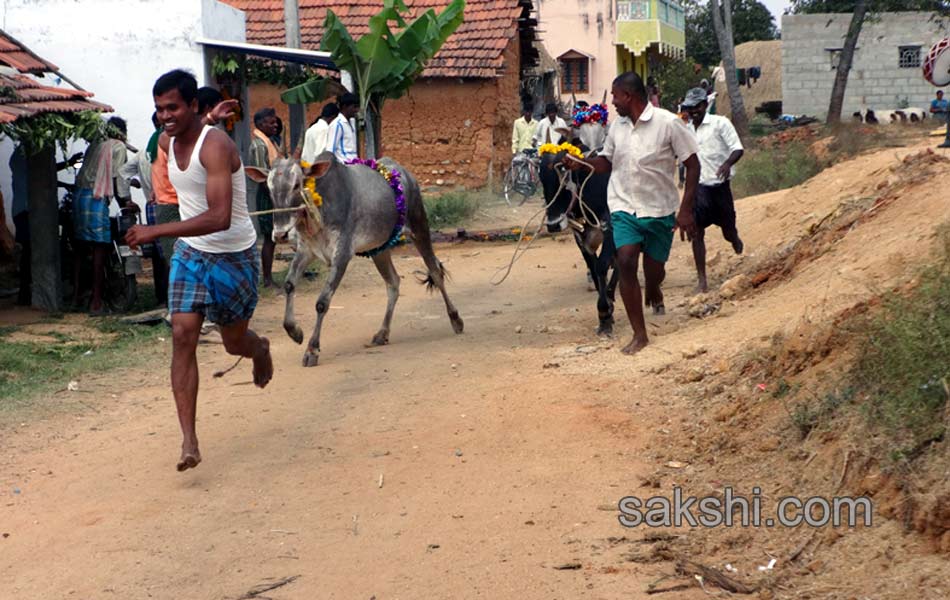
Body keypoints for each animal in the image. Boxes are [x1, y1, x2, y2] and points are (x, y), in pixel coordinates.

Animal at [245, 151, 464, 366]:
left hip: (419, 227)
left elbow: (322, 302)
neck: (320, 205)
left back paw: (456, 320)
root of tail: (403, 172)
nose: (280, 234)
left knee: (435, 271)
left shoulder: (342, 255)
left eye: (297, 185)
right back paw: (382, 333)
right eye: (269, 188)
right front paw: (295, 332)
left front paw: (312, 350)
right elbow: (289, 285)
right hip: (379, 248)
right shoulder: (306, 251)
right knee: (393, 282)